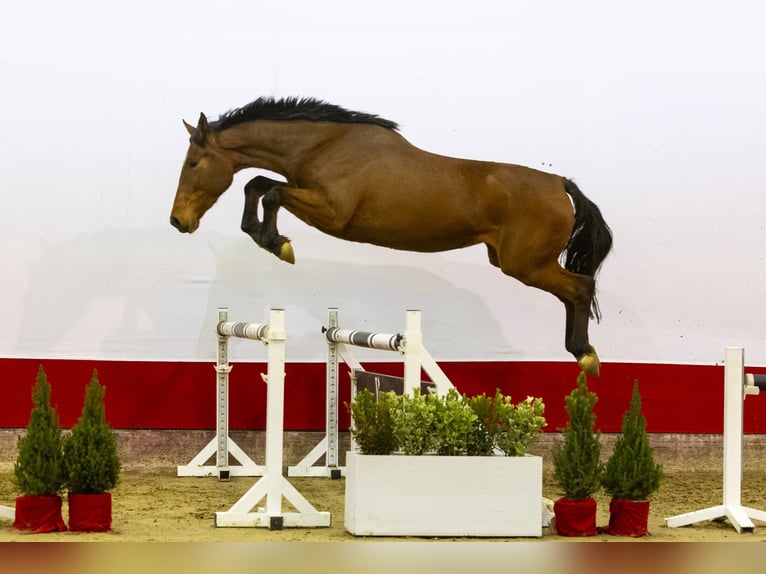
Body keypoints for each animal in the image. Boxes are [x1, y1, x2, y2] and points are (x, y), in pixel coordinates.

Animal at [171, 98, 616, 378]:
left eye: (194, 162)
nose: (178, 221)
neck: (325, 145)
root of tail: (559, 183)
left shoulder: (331, 212)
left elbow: (271, 192)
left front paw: (279, 244)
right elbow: (259, 184)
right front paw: (267, 238)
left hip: (524, 265)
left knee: (580, 287)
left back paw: (584, 355)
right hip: (517, 262)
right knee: (572, 292)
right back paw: (583, 353)